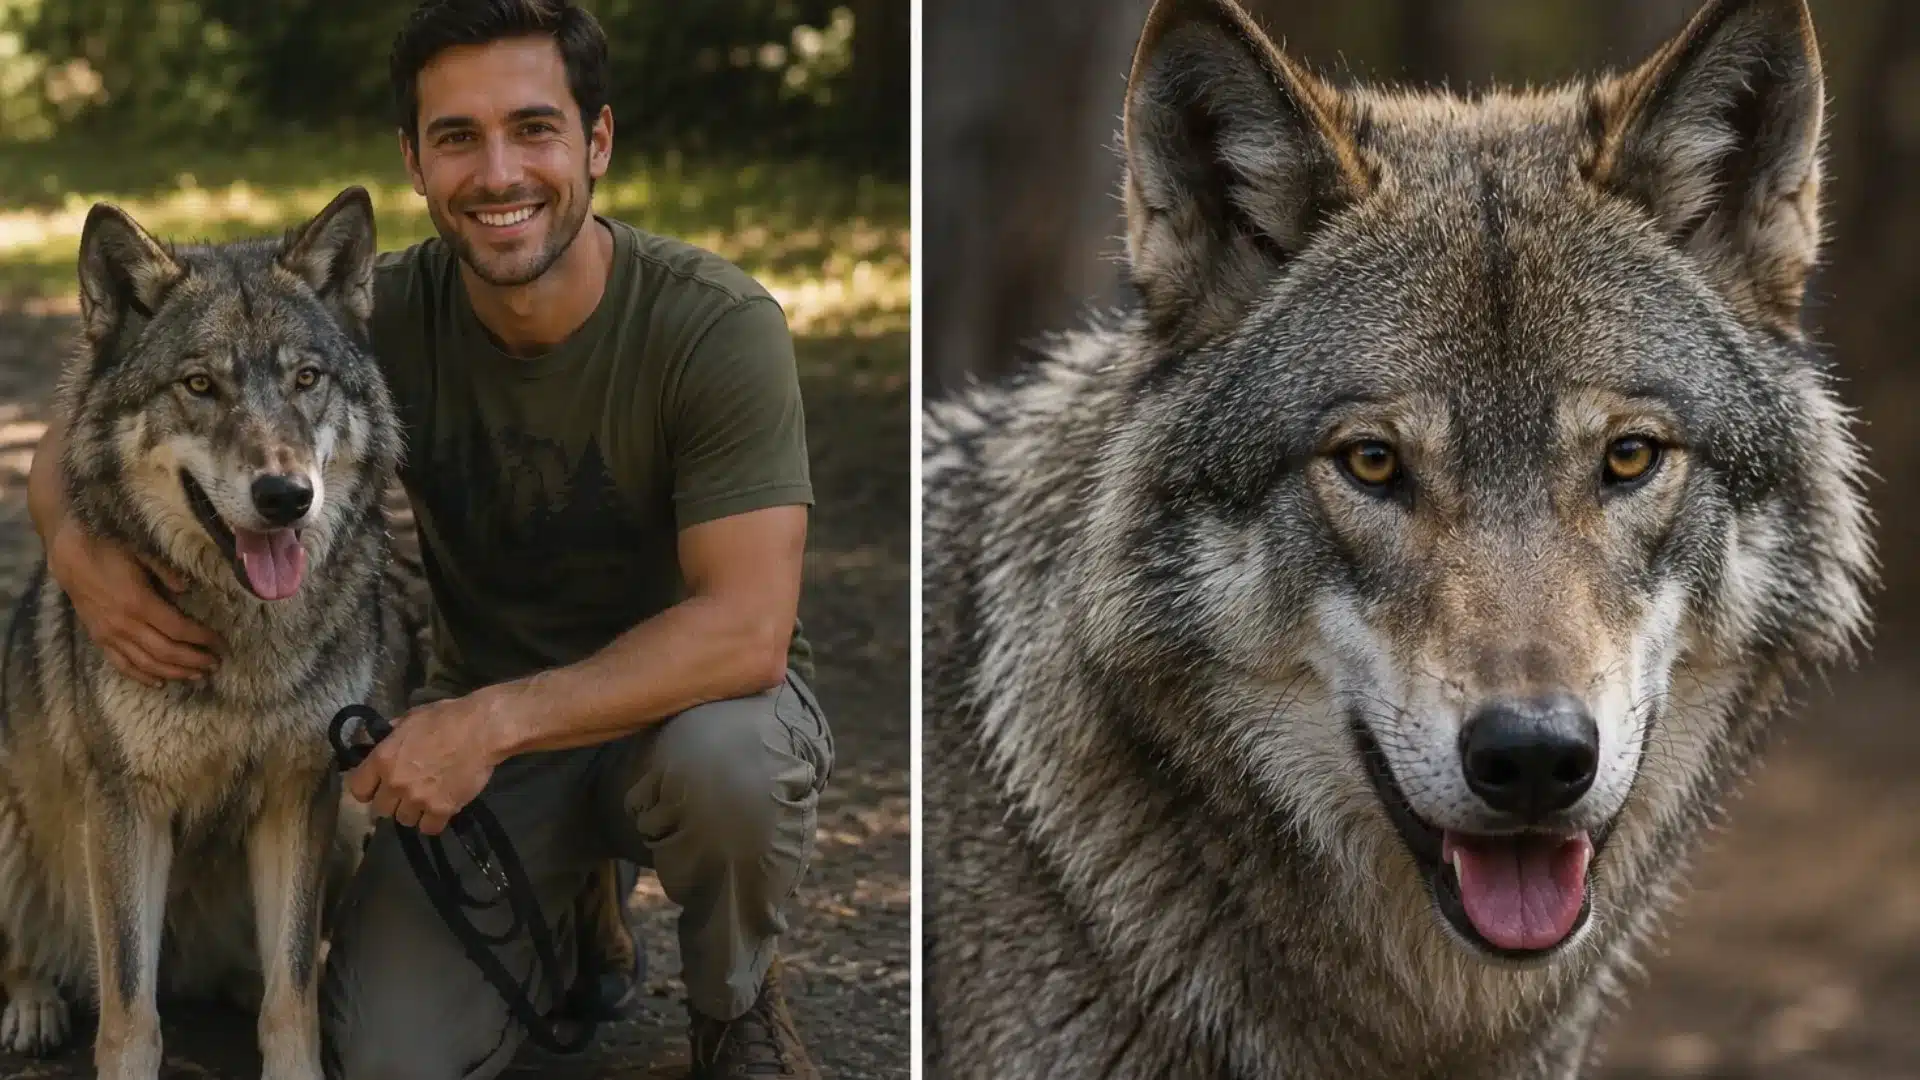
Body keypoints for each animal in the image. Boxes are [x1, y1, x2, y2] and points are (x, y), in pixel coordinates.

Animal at [0, 187, 423, 1080]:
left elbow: (291, 991)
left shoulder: (302, 794)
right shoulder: (126, 806)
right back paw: (33, 1007)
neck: (246, 647)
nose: (285, 496)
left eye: (306, 379)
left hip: (353, 820)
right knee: (29, 956)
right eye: (200, 384)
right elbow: (131, 1010)